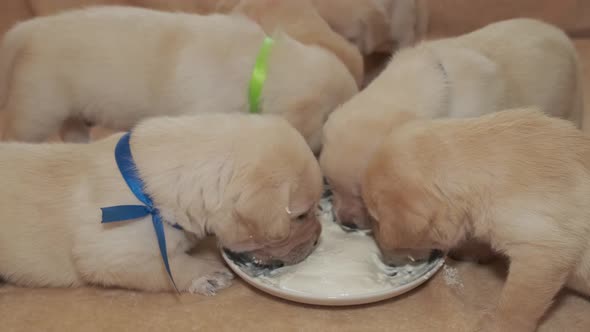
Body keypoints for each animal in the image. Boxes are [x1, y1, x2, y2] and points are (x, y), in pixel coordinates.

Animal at [0, 113, 324, 294]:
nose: (319, 239)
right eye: (300, 216)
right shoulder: (109, 255)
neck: (150, 197)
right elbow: (166, 266)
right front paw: (207, 273)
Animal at [366, 108, 590, 330]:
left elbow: (515, 304)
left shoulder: (542, 254)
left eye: (376, 221)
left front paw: (498, 325)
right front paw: (470, 250)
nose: (387, 263)